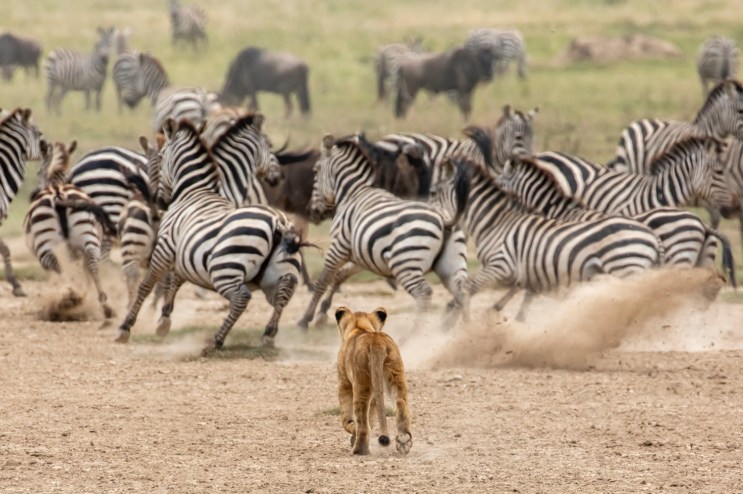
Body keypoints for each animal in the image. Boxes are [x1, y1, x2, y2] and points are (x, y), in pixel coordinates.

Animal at [24, 140, 117, 319]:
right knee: (92, 265)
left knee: (61, 270)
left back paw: (70, 299)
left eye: (38, 172)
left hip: (46, 248)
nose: (32, 195)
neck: (56, 183)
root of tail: (58, 195)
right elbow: (83, 273)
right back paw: (100, 304)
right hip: (89, 238)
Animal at [115, 118, 303, 349]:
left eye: (160, 158)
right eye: (270, 145)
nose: (159, 202)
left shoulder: (165, 249)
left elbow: (148, 284)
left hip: (225, 268)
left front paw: (127, 327)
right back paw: (267, 335)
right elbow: (174, 280)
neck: (195, 191)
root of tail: (278, 222)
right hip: (277, 274)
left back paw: (217, 340)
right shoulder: (183, 251)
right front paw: (163, 320)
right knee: (283, 294)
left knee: (242, 297)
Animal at [297, 133, 470, 330]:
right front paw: (323, 313)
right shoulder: (360, 256)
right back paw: (466, 329)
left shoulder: (338, 247)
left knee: (424, 292)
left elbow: (323, 281)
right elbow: (340, 276)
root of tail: (445, 220)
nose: (312, 211)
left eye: (315, 171)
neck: (353, 192)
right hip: (452, 264)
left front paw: (305, 319)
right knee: (462, 291)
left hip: (406, 263)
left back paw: (415, 333)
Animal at [335, 305, 413, 455]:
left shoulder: (344, 382)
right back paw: (403, 440)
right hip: (395, 373)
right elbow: (371, 416)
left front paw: (353, 434)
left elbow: (347, 419)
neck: (360, 327)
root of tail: (376, 341)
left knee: (363, 422)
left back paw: (359, 450)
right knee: (400, 402)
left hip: (362, 380)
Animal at [431, 156, 663, 320]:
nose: (437, 218)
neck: (496, 221)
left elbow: (469, 289)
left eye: (435, 193)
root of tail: (652, 236)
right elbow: (522, 293)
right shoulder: (528, 271)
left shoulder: (503, 264)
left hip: (627, 268)